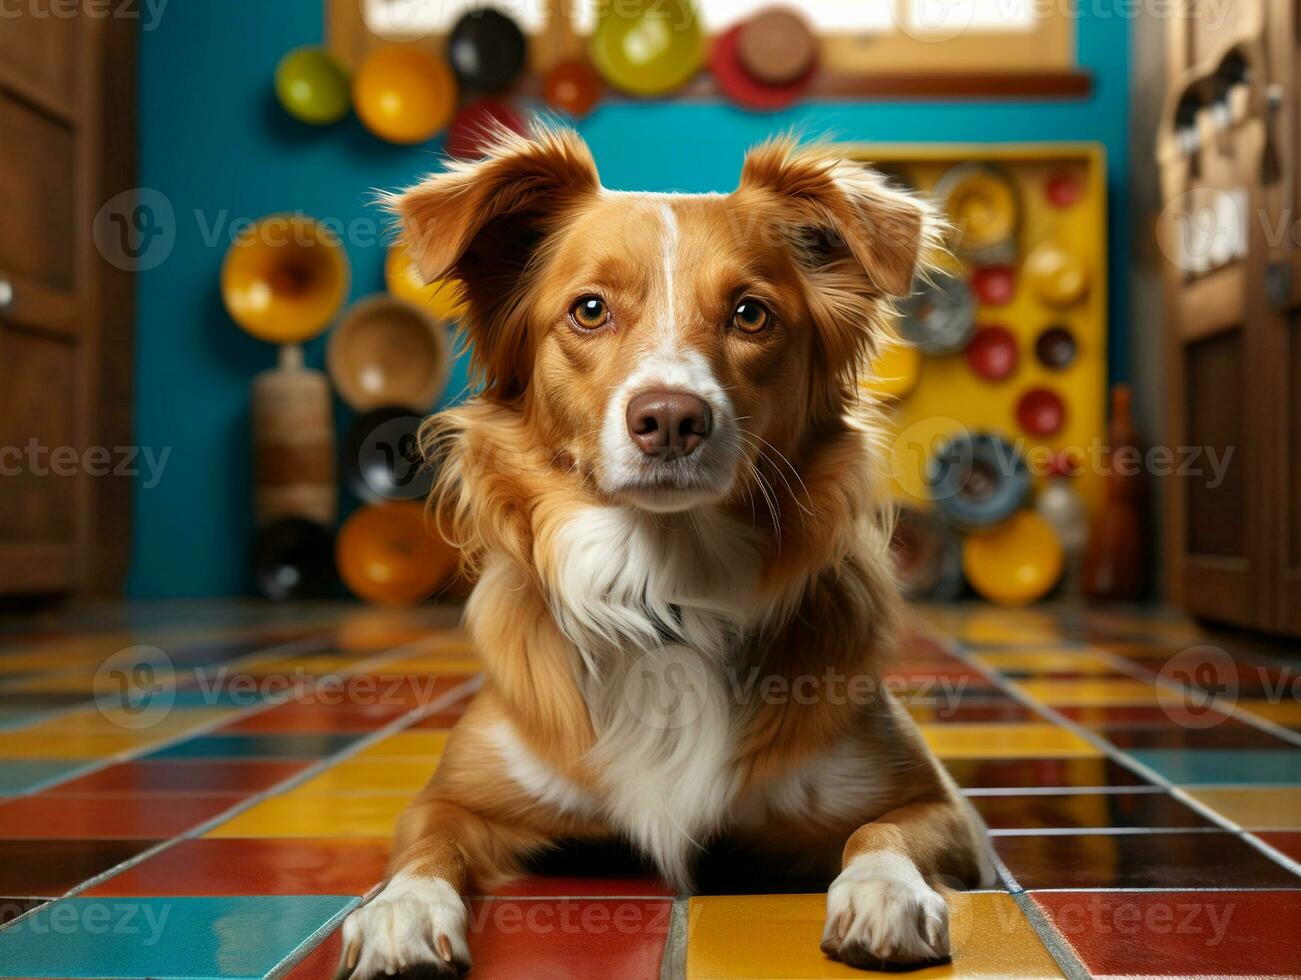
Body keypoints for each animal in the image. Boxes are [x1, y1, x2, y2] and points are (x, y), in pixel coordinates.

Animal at [338, 130, 993, 978]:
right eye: (589, 309)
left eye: (750, 313)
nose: (672, 418)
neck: (665, 588)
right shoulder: (452, 796)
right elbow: (426, 844)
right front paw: (402, 912)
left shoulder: (941, 807)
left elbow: (880, 831)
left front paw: (884, 892)